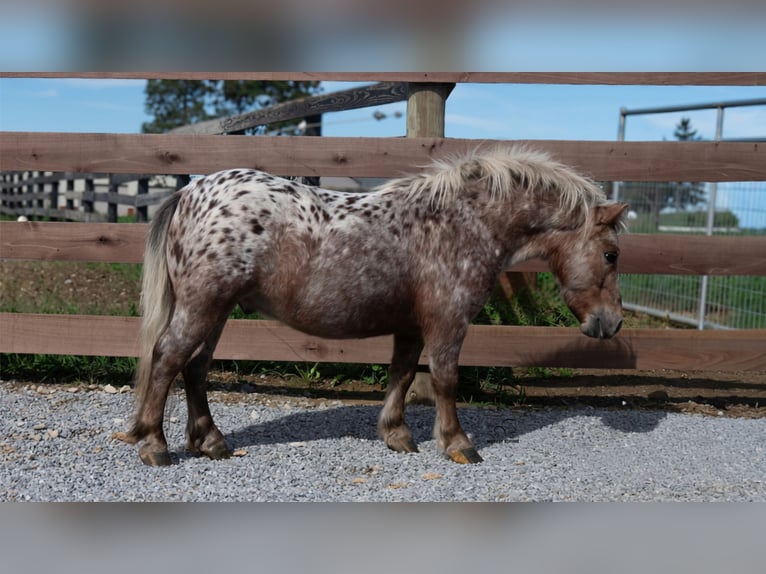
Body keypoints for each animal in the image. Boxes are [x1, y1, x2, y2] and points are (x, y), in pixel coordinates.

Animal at [114, 146, 627, 466]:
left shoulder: (411, 326)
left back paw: (210, 441)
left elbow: (401, 374)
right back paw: (155, 445)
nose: (613, 323)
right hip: (203, 305)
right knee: (168, 359)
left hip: (217, 311)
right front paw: (457, 443)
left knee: (195, 368)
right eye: (611, 254)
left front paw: (396, 435)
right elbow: (445, 379)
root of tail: (190, 192)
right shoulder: (448, 322)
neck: (462, 223)